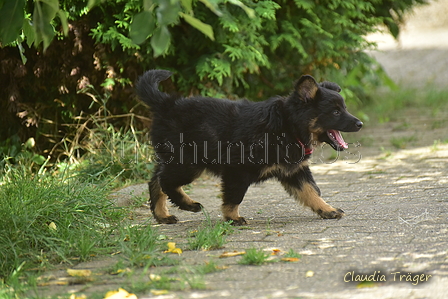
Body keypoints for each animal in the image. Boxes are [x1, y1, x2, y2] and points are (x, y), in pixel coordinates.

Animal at [135, 69, 362, 225]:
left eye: (344, 108)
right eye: (335, 112)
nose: (359, 124)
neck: (288, 126)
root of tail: (167, 104)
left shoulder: (294, 172)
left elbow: (311, 192)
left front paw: (328, 210)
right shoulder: (237, 170)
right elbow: (234, 196)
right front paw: (232, 218)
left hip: (177, 159)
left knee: (155, 180)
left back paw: (162, 215)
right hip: (189, 162)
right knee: (165, 180)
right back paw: (188, 204)